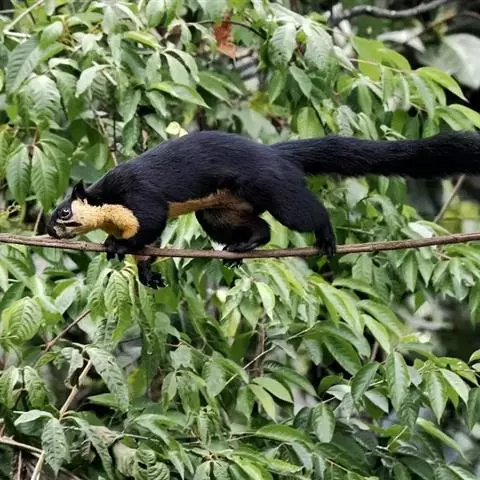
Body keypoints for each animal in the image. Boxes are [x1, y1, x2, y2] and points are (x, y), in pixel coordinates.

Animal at [47, 129, 480, 288]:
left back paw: (325, 238)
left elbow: (150, 225)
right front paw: (147, 272)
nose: (49, 231)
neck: (109, 206)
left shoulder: (140, 197)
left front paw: (119, 248)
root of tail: (274, 154)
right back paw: (241, 248)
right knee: (263, 229)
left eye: (63, 213)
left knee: (303, 214)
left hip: (272, 188)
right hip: (219, 211)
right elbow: (149, 247)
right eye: (52, 216)